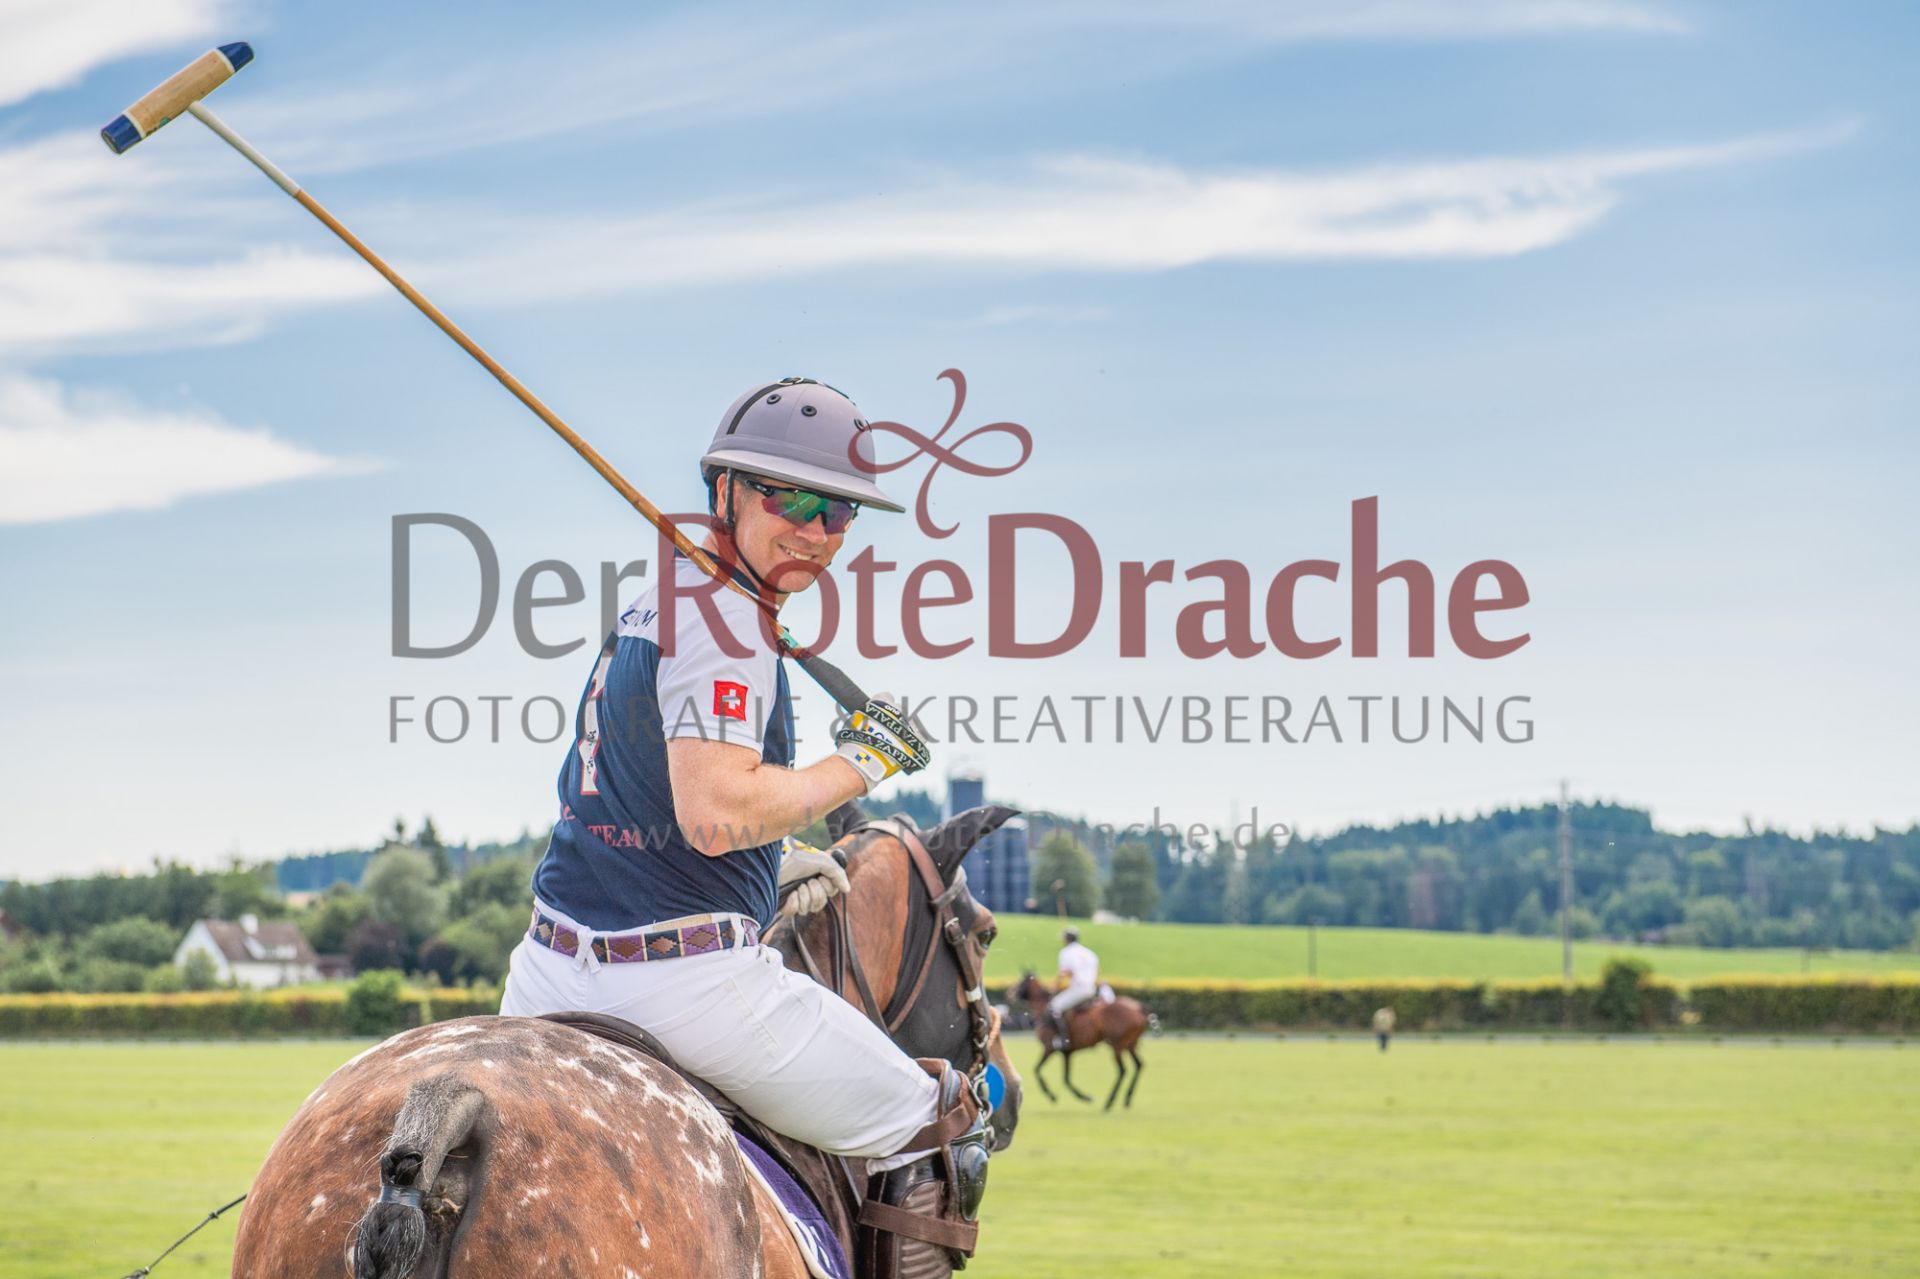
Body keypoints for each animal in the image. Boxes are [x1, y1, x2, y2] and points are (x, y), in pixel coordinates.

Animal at [1009, 970, 1153, 1110]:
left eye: (1021, 981)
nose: (1010, 993)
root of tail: (1139, 1008)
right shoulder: (1067, 1053)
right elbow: (1066, 1079)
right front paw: (1084, 1097)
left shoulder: (1049, 1048)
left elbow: (1037, 1070)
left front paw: (1053, 1096)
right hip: (1130, 1044)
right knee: (1139, 1065)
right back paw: (1127, 1099)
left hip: (1117, 1045)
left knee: (1123, 1070)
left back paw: (1109, 1102)